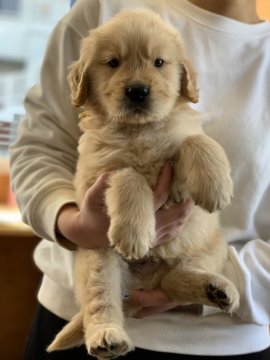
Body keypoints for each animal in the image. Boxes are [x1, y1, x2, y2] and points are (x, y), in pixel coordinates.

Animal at [47, 9, 239, 360]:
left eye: (159, 62)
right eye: (113, 62)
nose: (138, 91)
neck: (139, 130)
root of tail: (142, 285)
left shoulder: (177, 170)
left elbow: (195, 140)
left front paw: (215, 183)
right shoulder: (101, 172)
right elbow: (130, 176)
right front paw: (135, 231)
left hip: (211, 245)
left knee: (175, 281)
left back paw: (214, 288)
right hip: (96, 258)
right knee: (101, 302)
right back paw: (107, 337)